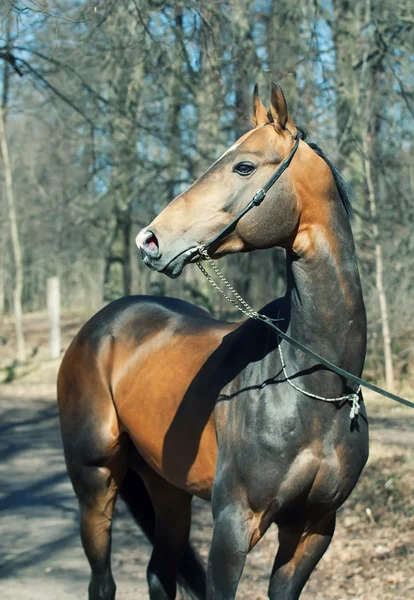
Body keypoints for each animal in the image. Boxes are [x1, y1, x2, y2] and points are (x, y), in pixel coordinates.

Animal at [57, 84, 368, 600]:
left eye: (243, 166)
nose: (149, 240)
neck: (312, 390)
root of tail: (98, 327)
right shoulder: (233, 526)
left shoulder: (313, 528)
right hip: (95, 482)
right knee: (102, 582)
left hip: (167, 489)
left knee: (159, 572)